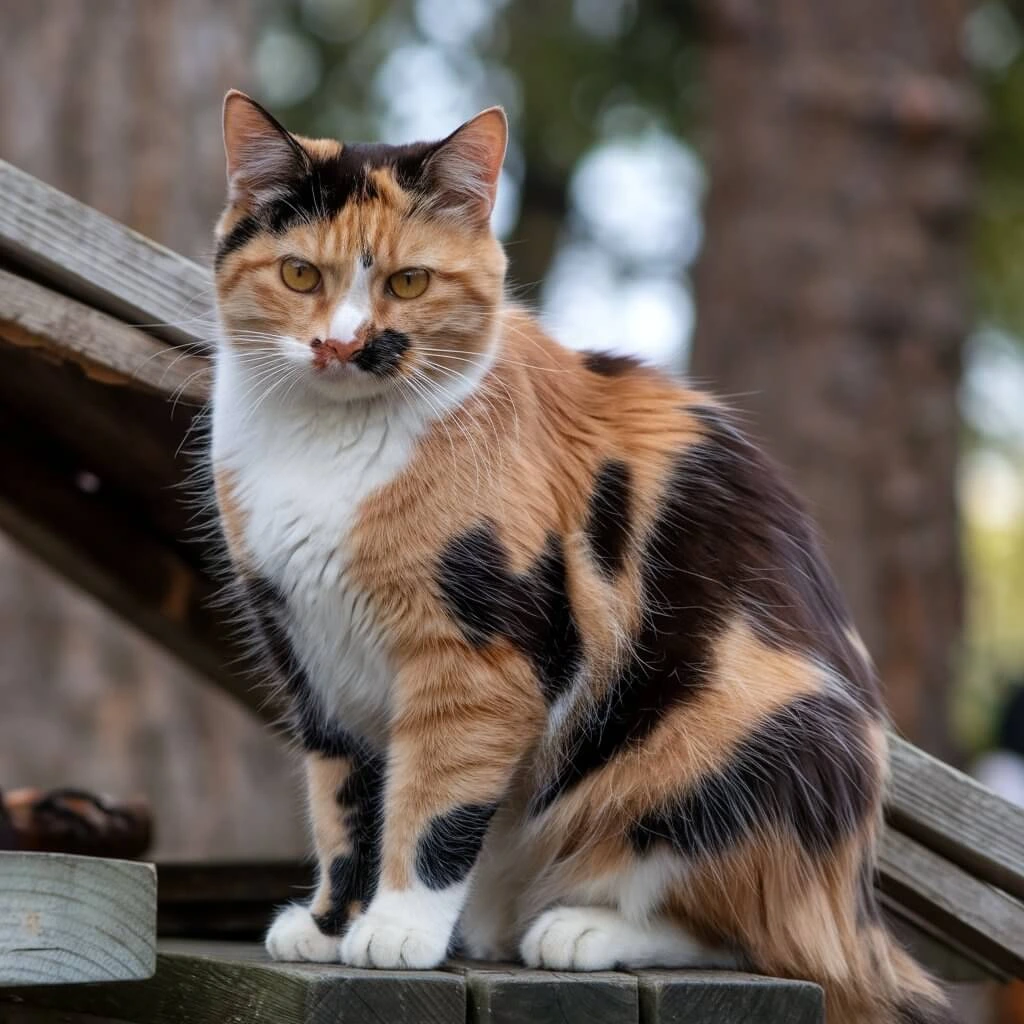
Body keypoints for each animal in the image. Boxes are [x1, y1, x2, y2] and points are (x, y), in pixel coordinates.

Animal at [207, 90, 950, 1024]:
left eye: (408, 282)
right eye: (300, 275)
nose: (341, 346)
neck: (326, 446)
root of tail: (859, 912)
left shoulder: (481, 657)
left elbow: (433, 799)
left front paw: (399, 928)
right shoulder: (312, 657)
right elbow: (345, 802)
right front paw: (331, 923)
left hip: (754, 745)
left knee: (770, 940)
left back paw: (578, 929)